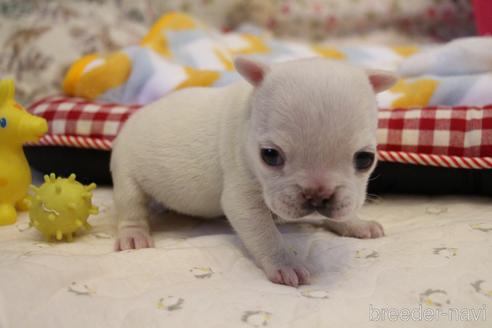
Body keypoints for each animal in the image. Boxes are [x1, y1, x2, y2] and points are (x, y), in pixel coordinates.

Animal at [110, 58, 396, 288]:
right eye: (270, 155)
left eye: (365, 159)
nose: (317, 195)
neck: (249, 112)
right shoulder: (242, 195)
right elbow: (265, 234)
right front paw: (285, 264)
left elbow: (343, 212)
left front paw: (356, 223)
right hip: (125, 170)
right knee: (131, 206)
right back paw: (133, 236)